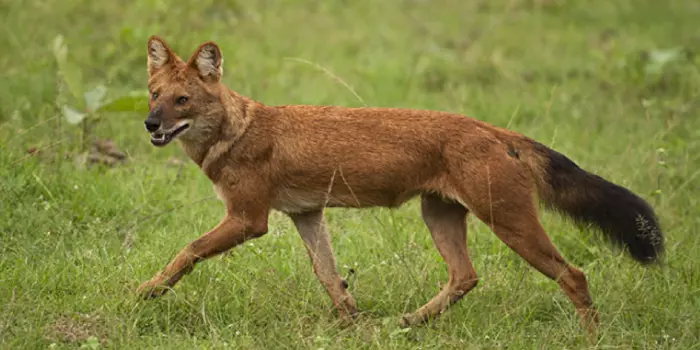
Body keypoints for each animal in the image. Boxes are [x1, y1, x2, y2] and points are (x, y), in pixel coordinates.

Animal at [135, 36, 660, 334]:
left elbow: (188, 250)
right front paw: (355, 328)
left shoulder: (248, 218)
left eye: (182, 100)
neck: (235, 131)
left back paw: (591, 339)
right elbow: (331, 279)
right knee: (466, 276)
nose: (149, 125)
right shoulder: (306, 213)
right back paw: (407, 323)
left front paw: (146, 291)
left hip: (508, 222)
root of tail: (493, 130)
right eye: (154, 94)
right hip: (439, 214)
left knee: (574, 275)